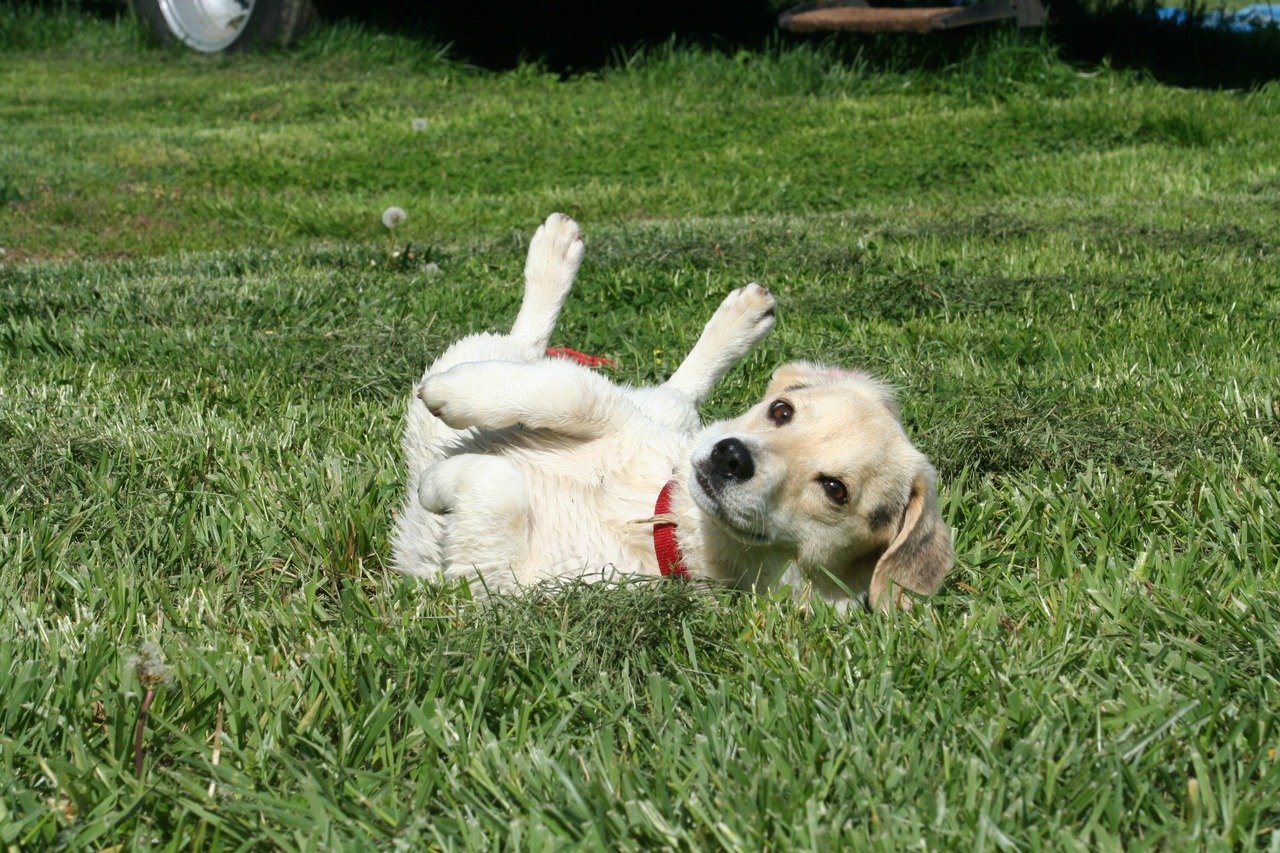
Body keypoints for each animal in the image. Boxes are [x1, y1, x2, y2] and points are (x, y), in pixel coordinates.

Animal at [389, 212, 952, 612]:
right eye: (781, 410)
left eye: (835, 490)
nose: (730, 456)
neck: (662, 518)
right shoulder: (615, 418)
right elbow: (573, 392)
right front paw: (457, 396)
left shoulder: (507, 592)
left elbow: (495, 488)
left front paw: (437, 482)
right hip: (652, 409)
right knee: (573, 362)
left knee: (528, 345)